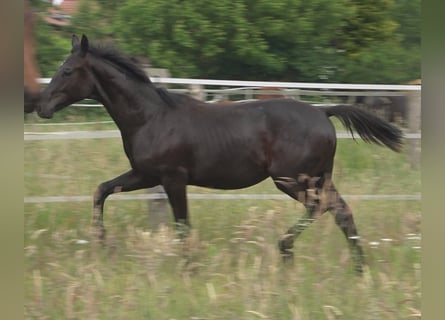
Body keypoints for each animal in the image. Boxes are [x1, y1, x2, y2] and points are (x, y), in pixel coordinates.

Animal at [37, 35, 402, 276]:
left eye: (67, 71)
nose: (41, 107)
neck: (151, 117)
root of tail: (324, 112)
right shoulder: (145, 174)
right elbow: (101, 190)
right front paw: (102, 243)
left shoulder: (172, 177)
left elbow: (182, 224)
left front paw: (190, 269)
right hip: (318, 177)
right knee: (342, 211)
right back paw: (358, 269)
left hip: (292, 179)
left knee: (322, 207)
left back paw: (286, 249)